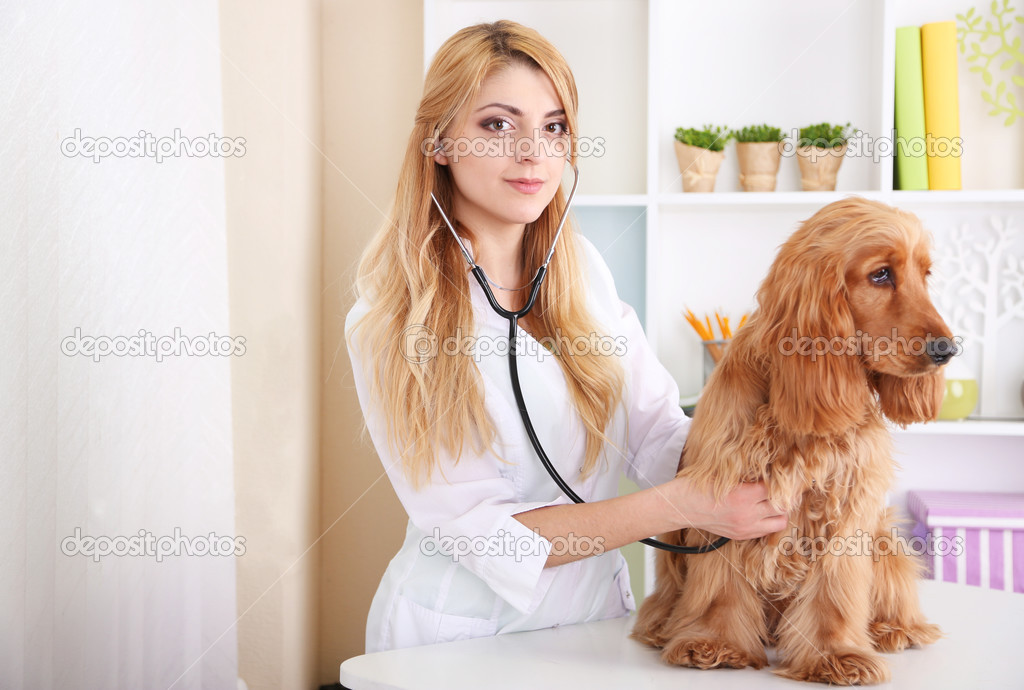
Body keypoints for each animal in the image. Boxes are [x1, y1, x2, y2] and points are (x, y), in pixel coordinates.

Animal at [630, 196, 950, 679]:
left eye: (925, 274)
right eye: (880, 274)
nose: (947, 350)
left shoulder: (845, 507)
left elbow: (833, 592)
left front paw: (836, 653)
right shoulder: (724, 500)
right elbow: (721, 583)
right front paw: (714, 642)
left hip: (884, 536)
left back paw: (894, 628)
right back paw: (662, 624)